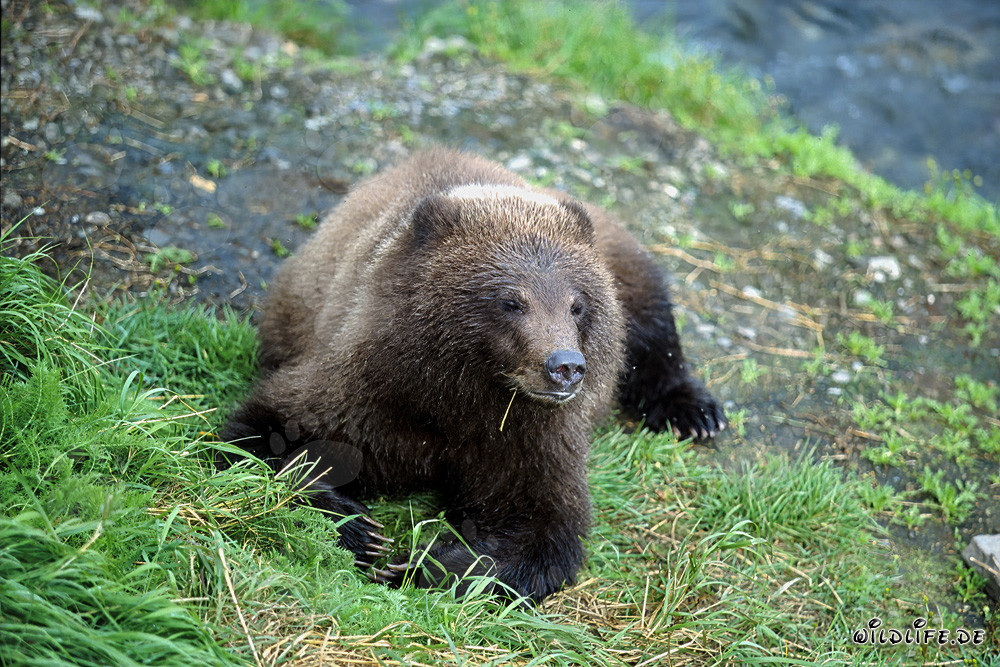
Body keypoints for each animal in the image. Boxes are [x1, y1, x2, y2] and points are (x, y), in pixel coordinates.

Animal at [222, 148, 726, 604]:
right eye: (511, 300)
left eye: (576, 304)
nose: (565, 366)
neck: (462, 395)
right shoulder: (366, 396)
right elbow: (263, 433)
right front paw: (363, 531)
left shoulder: (528, 437)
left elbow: (544, 529)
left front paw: (423, 564)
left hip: (621, 261)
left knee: (653, 318)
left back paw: (695, 413)